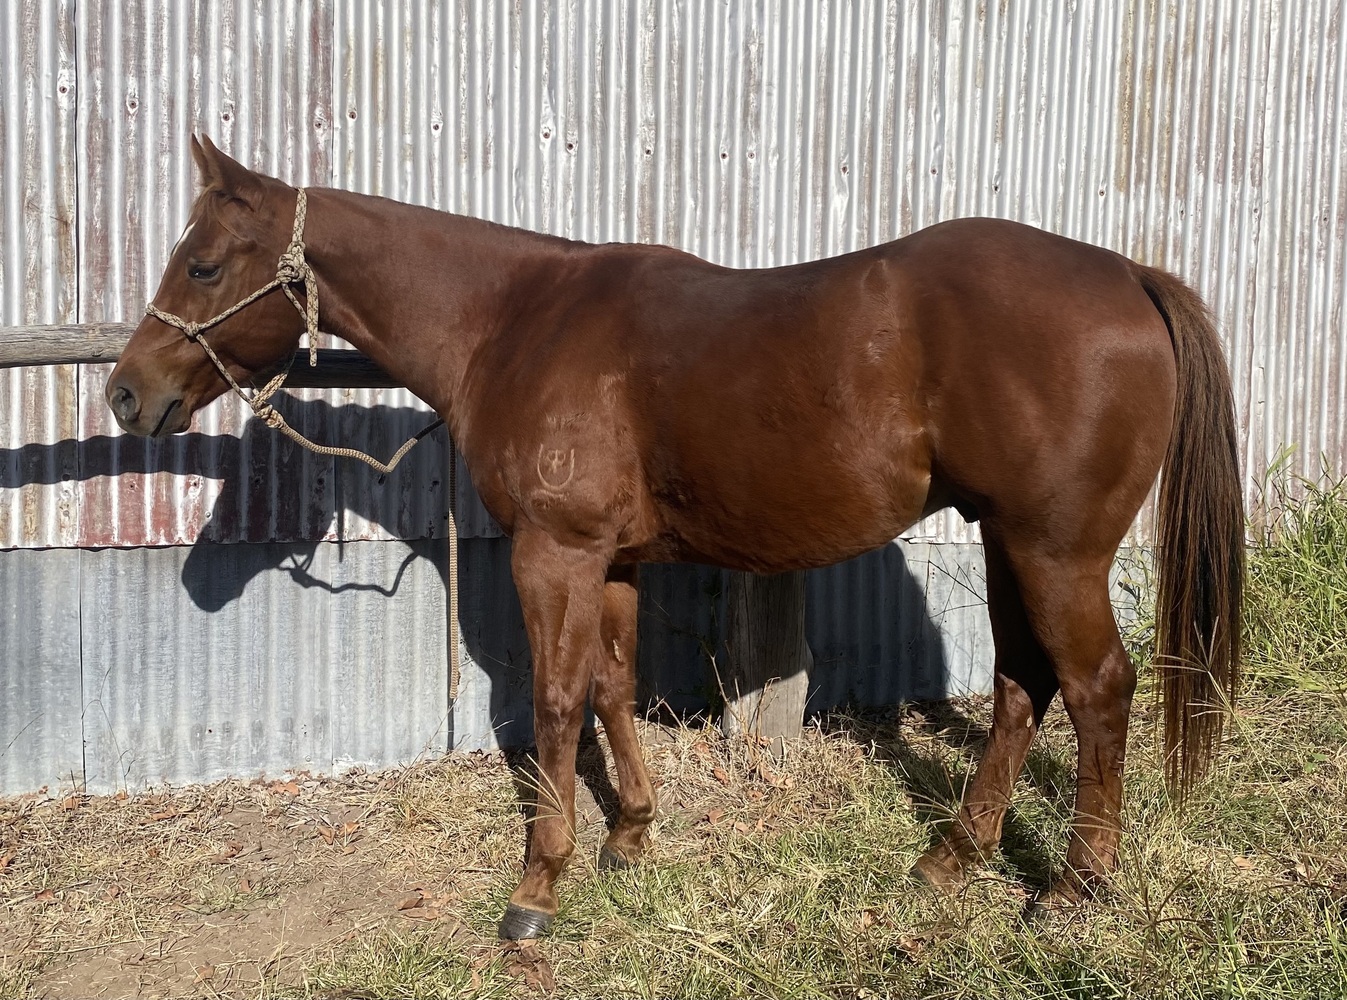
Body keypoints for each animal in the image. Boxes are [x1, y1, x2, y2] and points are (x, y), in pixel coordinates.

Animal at [107, 136, 1244, 940]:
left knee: (1096, 689)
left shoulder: (553, 553)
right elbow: (613, 688)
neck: (516, 320)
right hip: (1011, 544)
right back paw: (950, 859)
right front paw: (631, 836)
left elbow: (555, 702)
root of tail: (1129, 275)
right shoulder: (609, 560)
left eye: (202, 264)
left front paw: (538, 888)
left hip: (1057, 553)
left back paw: (1075, 886)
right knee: (1020, 686)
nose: (128, 393)